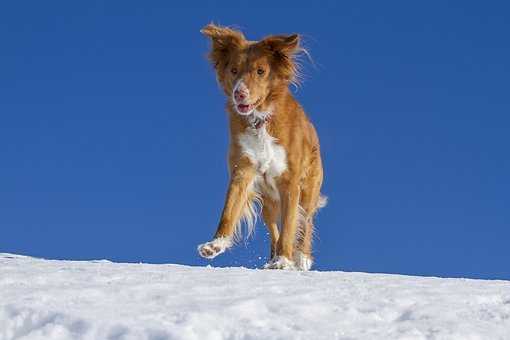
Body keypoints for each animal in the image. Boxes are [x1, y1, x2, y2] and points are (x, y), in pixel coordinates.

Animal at [197, 23, 324, 270]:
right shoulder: (243, 170)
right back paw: (273, 258)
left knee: (305, 221)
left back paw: (301, 257)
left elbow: (290, 226)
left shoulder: (290, 183)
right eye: (233, 70)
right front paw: (216, 244)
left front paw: (285, 259)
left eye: (261, 71)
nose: (239, 93)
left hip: (308, 189)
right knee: (274, 228)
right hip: (268, 203)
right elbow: (229, 211)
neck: (260, 120)